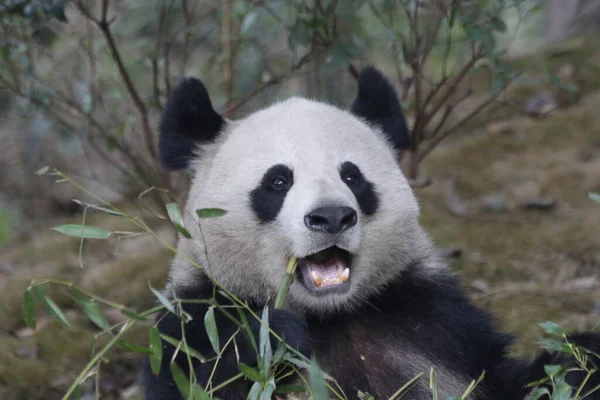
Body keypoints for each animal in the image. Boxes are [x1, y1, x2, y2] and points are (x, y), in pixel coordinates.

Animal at [142, 67, 600, 398]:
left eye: (352, 176)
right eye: (278, 181)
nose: (331, 217)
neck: (332, 316)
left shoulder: (435, 327)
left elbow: (521, 380)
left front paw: (581, 360)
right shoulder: (194, 319)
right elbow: (205, 368)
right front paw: (271, 336)